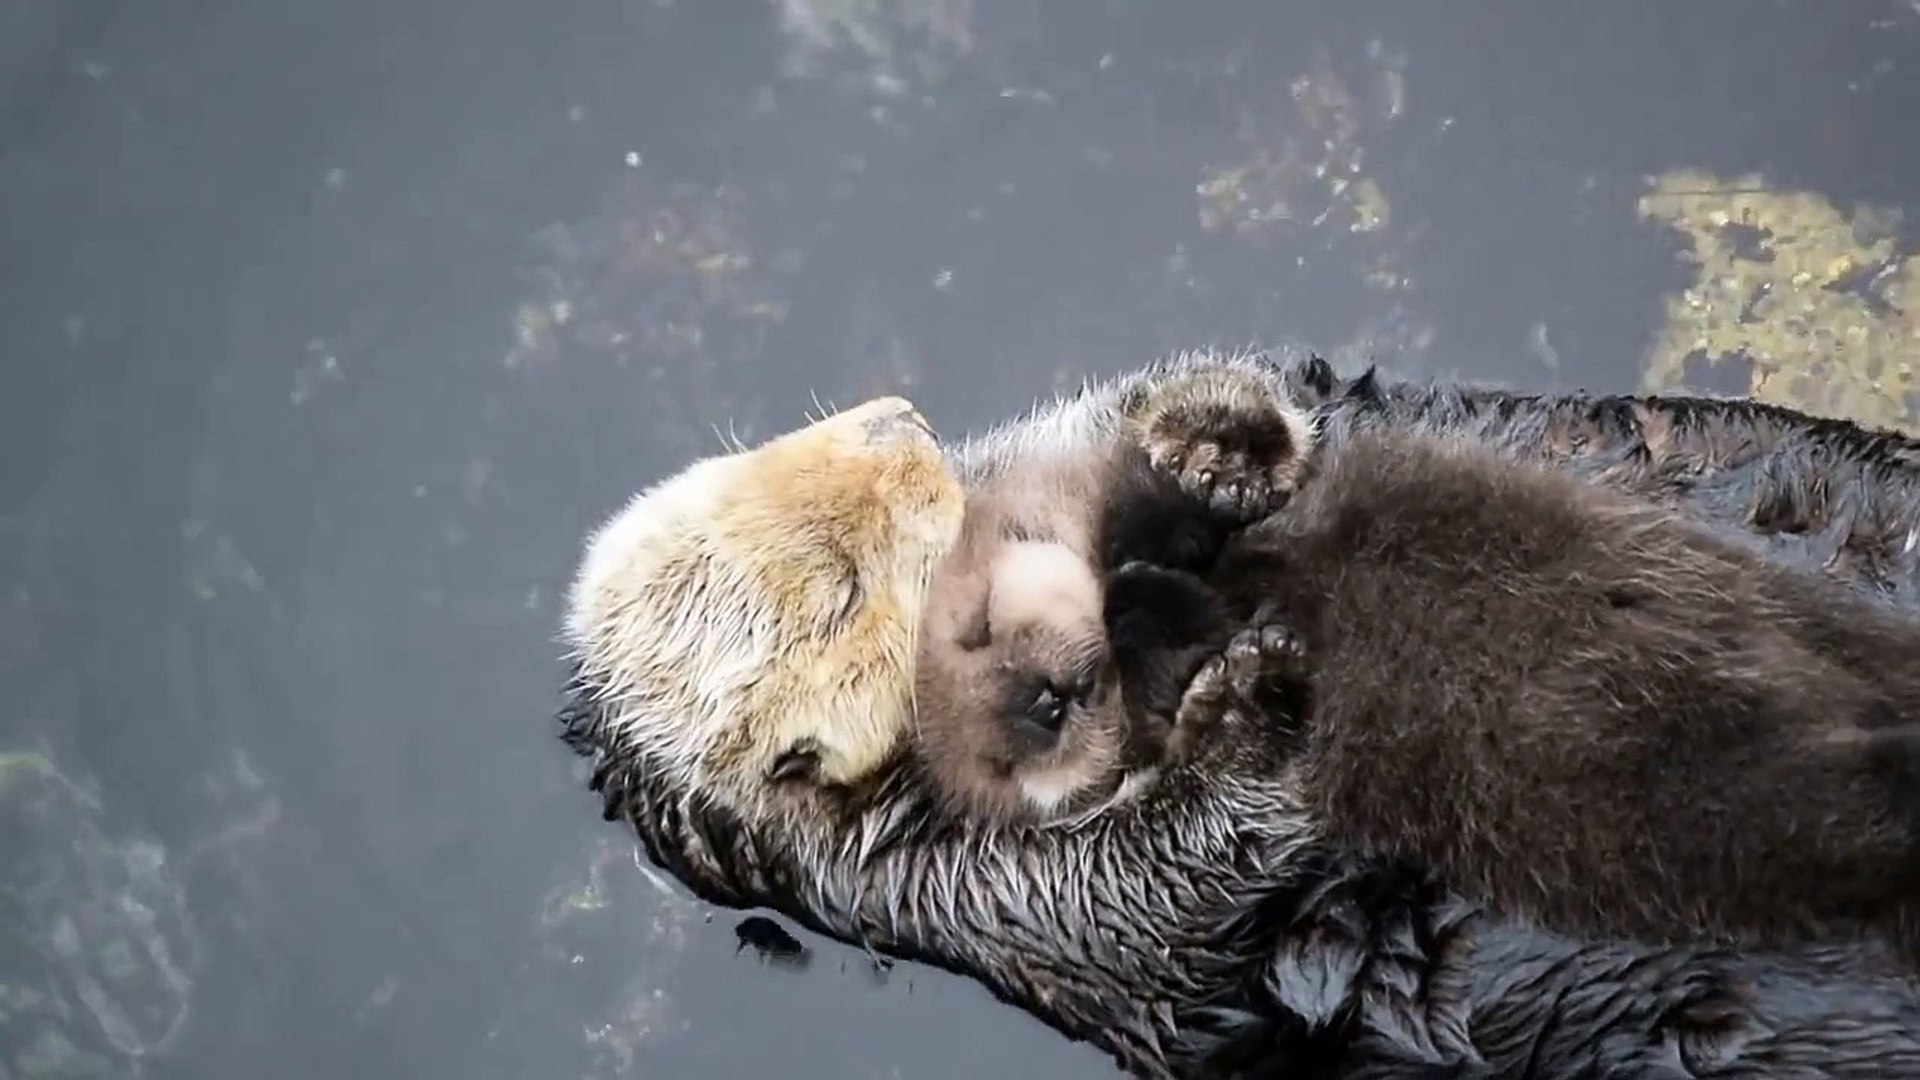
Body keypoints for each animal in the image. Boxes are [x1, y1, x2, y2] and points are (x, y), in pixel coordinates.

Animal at [556, 349, 1920, 1068]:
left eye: (756, 450)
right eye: (838, 588)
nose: (901, 421)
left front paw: (1207, 434)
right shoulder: (987, 892)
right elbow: (1182, 882)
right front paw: (1243, 702)